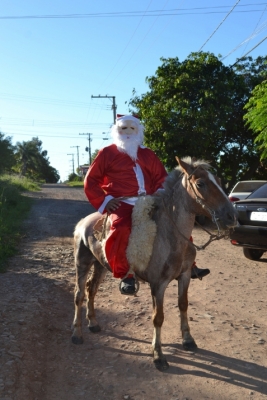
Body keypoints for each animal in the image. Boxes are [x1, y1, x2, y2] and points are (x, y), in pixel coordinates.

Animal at [71, 156, 239, 372]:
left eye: (218, 180)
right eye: (201, 183)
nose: (232, 216)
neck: (169, 236)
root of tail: (83, 223)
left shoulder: (185, 276)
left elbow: (183, 305)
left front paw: (188, 340)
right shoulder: (158, 285)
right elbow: (158, 317)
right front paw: (158, 355)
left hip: (100, 265)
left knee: (91, 290)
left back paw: (93, 323)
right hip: (81, 263)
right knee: (79, 295)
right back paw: (77, 334)